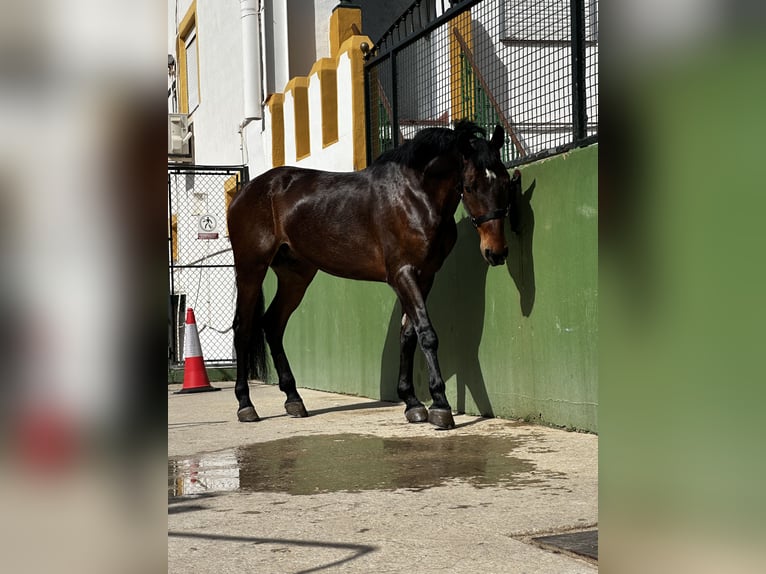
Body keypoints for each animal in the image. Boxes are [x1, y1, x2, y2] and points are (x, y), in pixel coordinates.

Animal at [227, 120, 519, 429]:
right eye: (471, 186)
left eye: (505, 182)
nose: (496, 252)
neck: (414, 196)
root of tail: (246, 191)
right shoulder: (403, 274)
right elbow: (426, 333)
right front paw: (440, 405)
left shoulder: (425, 276)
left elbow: (408, 334)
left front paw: (412, 402)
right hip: (251, 268)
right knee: (243, 327)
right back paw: (246, 405)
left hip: (296, 275)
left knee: (272, 324)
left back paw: (293, 399)